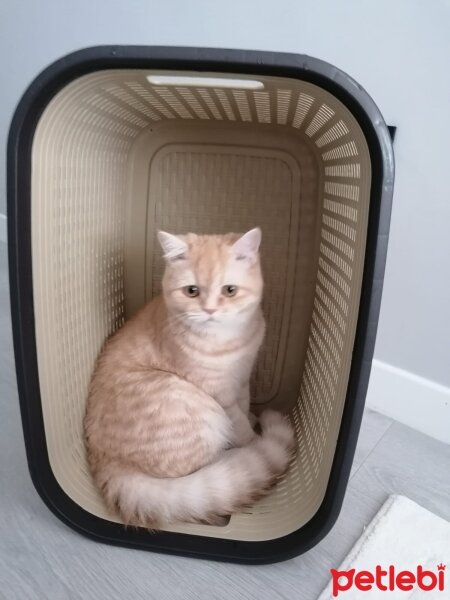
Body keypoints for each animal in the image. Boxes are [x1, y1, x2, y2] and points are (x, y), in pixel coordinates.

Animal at [84, 227, 296, 528]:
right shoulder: (221, 396)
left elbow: (245, 407)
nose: (209, 310)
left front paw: (252, 418)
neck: (230, 340)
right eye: (192, 291)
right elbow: (240, 424)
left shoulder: (243, 379)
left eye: (229, 290)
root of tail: (105, 462)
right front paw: (253, 439)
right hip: (202, 413)